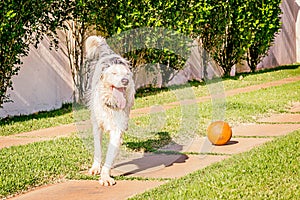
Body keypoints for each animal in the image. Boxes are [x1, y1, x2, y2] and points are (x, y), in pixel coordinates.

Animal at [85, 35, 135, 186]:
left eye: (127, 74)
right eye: (114, 73)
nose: (125, 81)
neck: (111, 103)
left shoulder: (117, 129)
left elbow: (111, 152)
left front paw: (105, 176)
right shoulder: (97, 126)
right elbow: (98, 149)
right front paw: (96, 168)